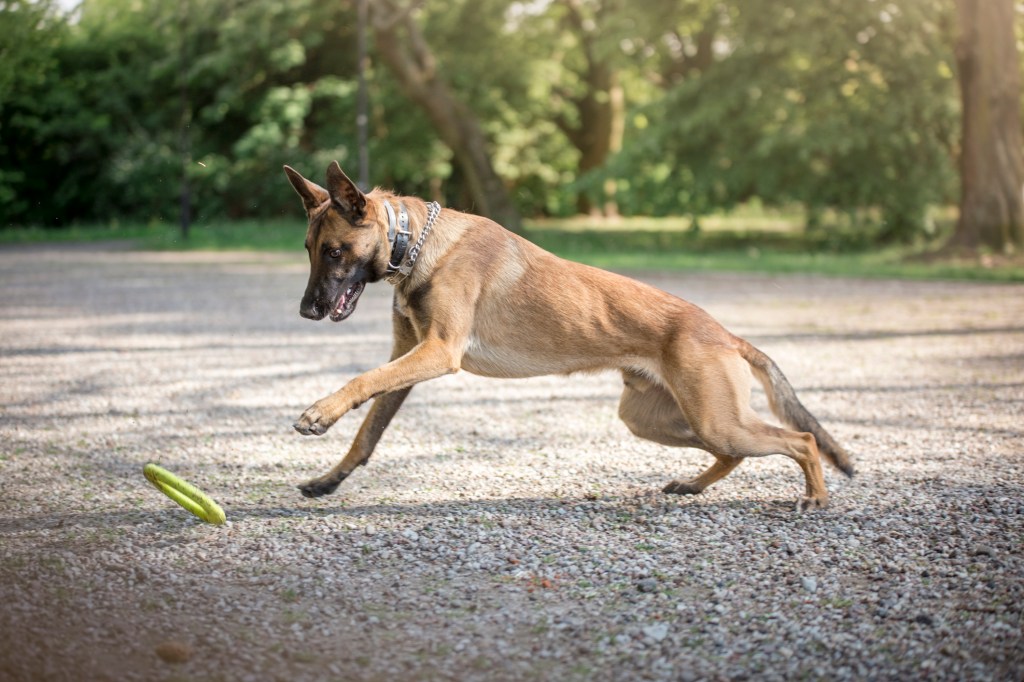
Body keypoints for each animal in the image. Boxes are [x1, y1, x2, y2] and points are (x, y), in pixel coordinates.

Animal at [284, 161, 851, 507]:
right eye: (309, 252)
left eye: (334, 251)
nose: (307, 312)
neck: (417, 242)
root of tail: (727, 334)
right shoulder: (407, 361)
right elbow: (366, 434)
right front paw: (330, 478)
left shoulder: (438, 353)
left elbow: (361, 380)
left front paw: (319, 413)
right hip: (661, 420)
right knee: (736, 451)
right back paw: (692, 485)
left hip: (713, 419)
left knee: (800, 439)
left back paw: (815, 497)